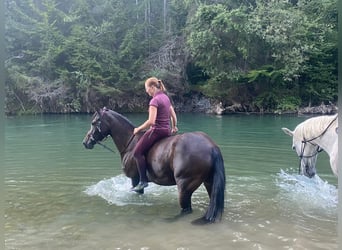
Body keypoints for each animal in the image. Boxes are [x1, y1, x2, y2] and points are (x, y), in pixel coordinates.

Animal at [82, 108, 226, 224]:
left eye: (94, 123)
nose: (85, 142)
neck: (130, 142)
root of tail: (211, 146)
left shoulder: (135, 179)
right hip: (209, 182)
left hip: (184, 186)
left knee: (186, 210)